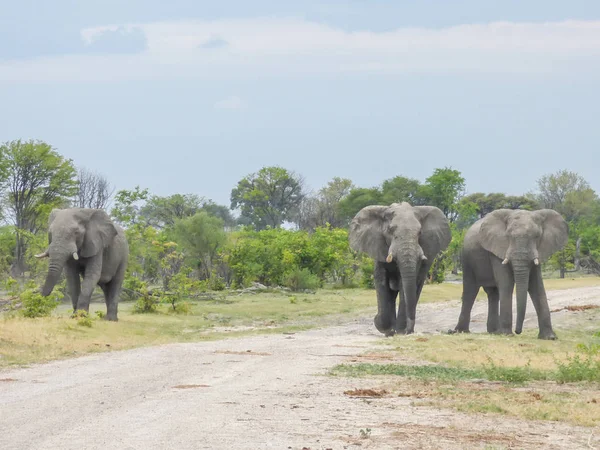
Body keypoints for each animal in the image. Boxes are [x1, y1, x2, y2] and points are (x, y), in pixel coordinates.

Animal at [346, 202, 450, 336]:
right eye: (390, 230)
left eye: (420, 232)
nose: (407, 331)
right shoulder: (379, 248)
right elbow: (381, 281)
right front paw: (384, 327)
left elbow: (403, 285)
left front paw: (399, 331)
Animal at [452, 209, 568, 340]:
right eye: (508, 236)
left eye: (537, 236)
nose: (518, 331)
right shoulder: (497, 248)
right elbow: (506, 283)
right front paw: (506, 334)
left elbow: (536, 285)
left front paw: (550, 338)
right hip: (467, 259)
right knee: (470, 291)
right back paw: (461, 331)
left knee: (493, 294)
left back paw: (494, 331)